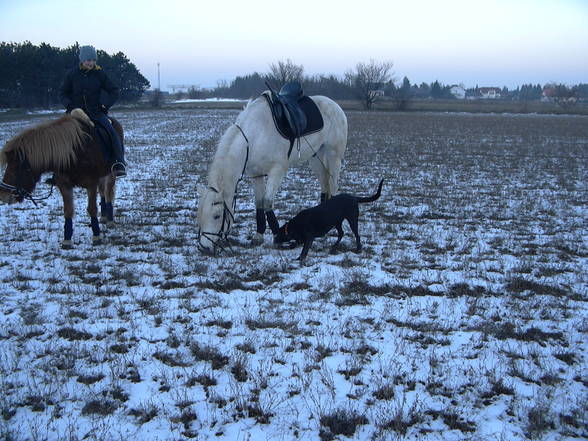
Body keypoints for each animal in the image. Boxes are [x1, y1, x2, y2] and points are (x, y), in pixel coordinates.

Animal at [0, 109, 123, 248]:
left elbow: (92, 209)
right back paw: (103, 216)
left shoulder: (91, 183)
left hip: (111, 173)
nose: (3, 195)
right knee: (102, 192)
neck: (74, 153)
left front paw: (96, 236)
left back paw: (110, 220)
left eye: (15, 168)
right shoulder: (64, 184)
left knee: (108, 192)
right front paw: (67, 240)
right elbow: (67, 211)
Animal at [198, 93, 346, 253]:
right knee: (325, 185)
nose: (204, 247)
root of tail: (334, 104)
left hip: (334, 156)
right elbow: (259, 203)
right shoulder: (255, 174)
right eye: (200, 215)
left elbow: (267, 201)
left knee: (333, 185)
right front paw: (258, 235)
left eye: (217, 216)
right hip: (315, 157)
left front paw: (277, 236)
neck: (254, 136)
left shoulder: (277, 170)